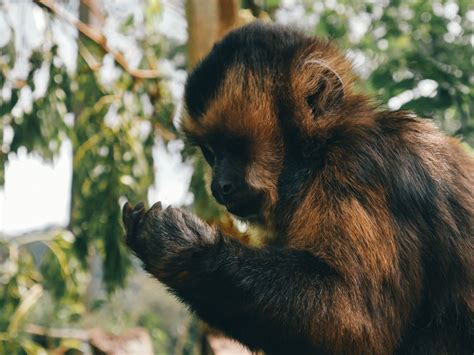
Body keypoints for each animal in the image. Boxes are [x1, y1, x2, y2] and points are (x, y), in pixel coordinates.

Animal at [122, 23, 474, 355]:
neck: (319, 153)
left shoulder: (360, 166)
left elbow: (360, 324)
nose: (218, 186)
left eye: (234, 147)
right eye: (211, 153)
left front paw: (186, 249)